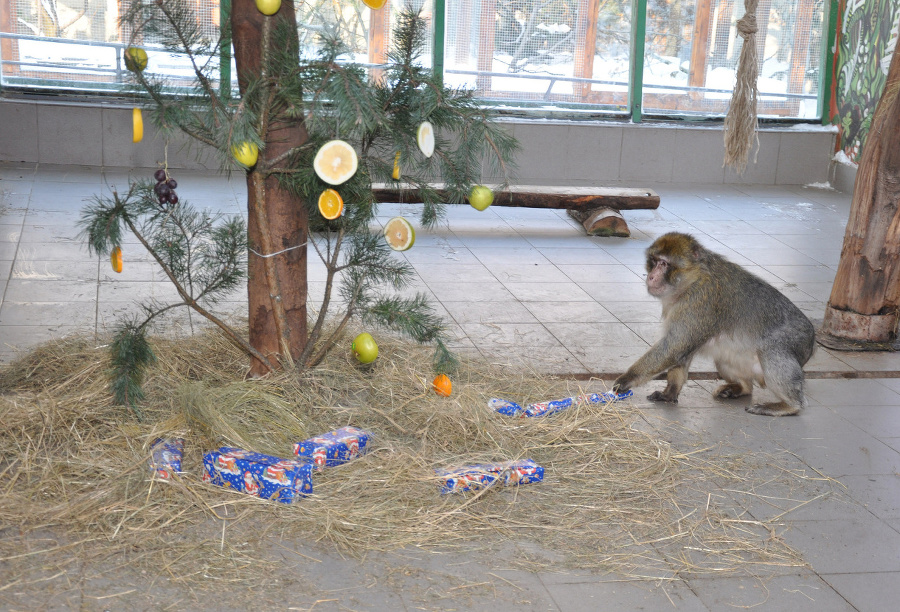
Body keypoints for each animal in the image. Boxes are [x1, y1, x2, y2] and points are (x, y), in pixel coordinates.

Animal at [612, 233, 816, 416]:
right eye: (654, 261)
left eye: (664, 264)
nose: (651, 276)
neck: (692, 279)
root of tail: (812, 341)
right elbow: (682, 350)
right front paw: (670, 392)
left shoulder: (699, 301)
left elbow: (675, 347)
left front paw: (627, 379)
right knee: (725, 359)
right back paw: (742, 388)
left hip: (796, 341)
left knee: (772, 351)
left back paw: (790, 406)